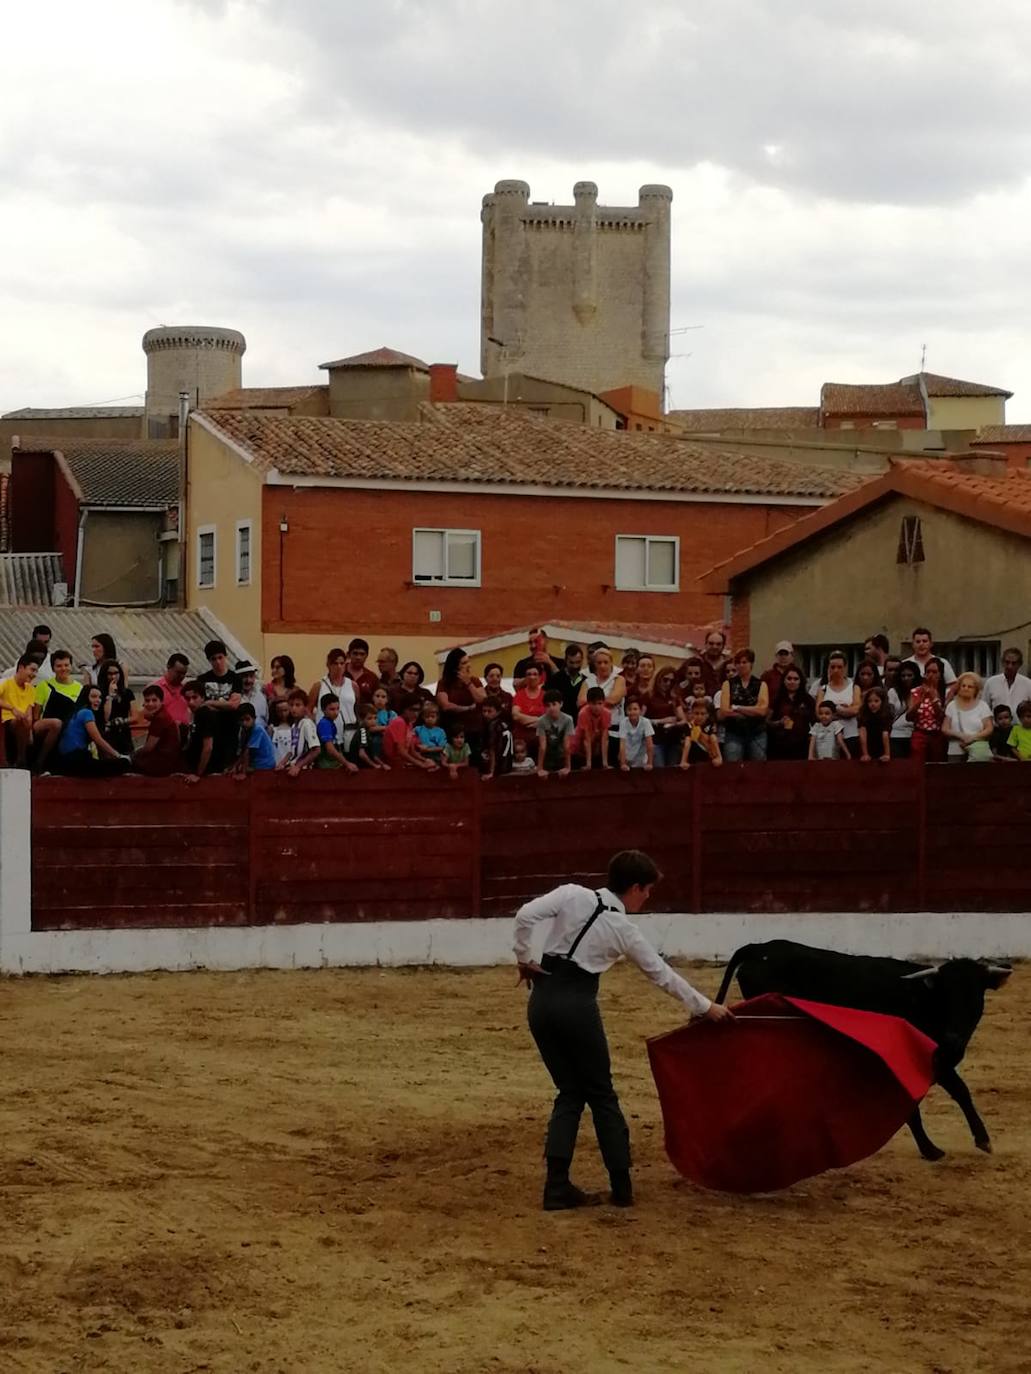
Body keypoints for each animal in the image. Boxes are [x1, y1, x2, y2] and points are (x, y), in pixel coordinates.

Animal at [714, 934, 1011, 1159]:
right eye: (946, 995)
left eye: (976, 997)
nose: (954, 1041)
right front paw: (935, 1148)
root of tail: (760, 948)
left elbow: (956, 1091)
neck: (921, 999)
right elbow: (942, 1094)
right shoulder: (926, 1059)